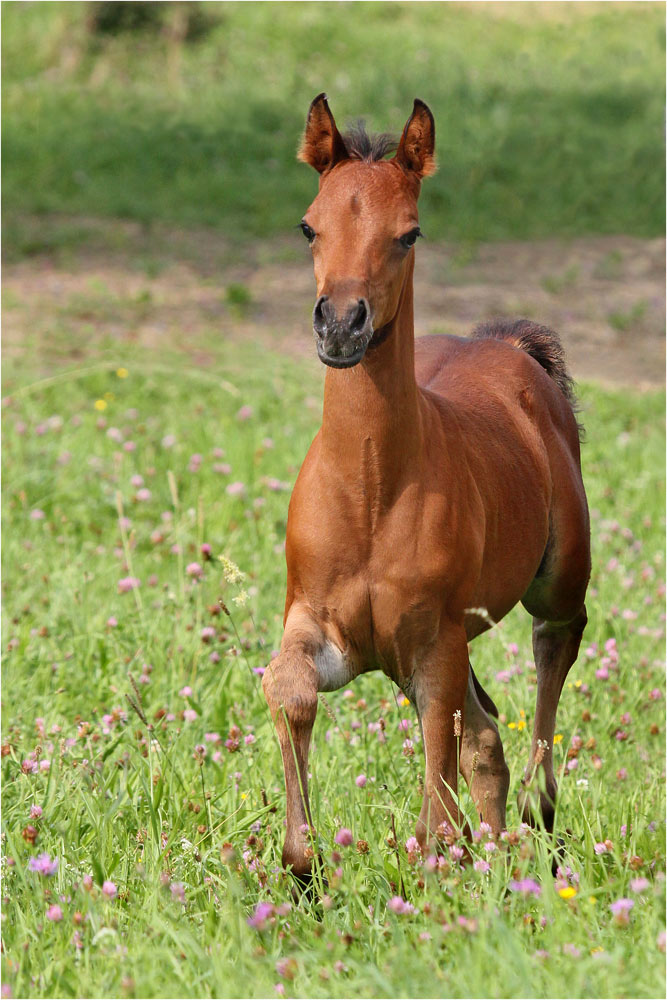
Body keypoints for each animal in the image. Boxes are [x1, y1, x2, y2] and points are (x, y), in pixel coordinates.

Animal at [260, 92, 588, 876]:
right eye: (308, 225)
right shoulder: (324, 626)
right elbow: (288, 691)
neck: (371, 495)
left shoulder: (433, 642)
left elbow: (437, 802)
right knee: (485, 737)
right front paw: (302, 864)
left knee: (552, 649)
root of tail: (506, 343)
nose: (341, 325)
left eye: (408, 234)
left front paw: (441, 858)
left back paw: (538, 811)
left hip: (555, 580)